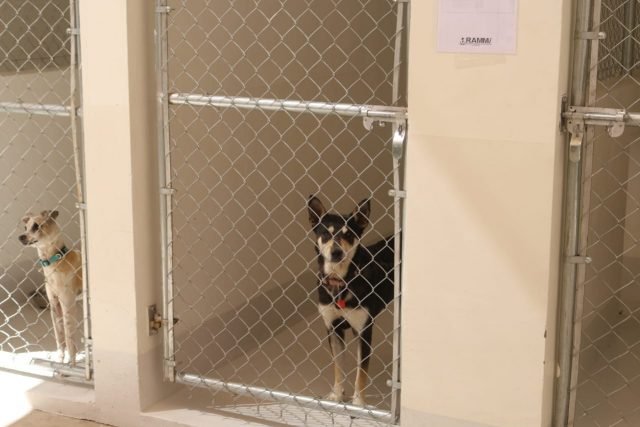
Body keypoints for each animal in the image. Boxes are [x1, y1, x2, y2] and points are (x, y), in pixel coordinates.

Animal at [19, 210, 82, 365]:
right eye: (25, 227)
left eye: (36, 226)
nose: (20, 237)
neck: (56, 261)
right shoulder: (54, 306)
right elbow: (60, 339)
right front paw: (60, 362)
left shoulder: (68, 306)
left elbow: (69, 341)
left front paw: (71, 366)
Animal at [307, 196, 394, 407]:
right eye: (325, 233)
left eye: (349, 235)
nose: (336, 252)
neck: (340, 281)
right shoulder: (332, 327)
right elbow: (338, 367)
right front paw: (337, 395)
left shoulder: (363, 330)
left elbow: (361, 373)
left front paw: (359, 403)